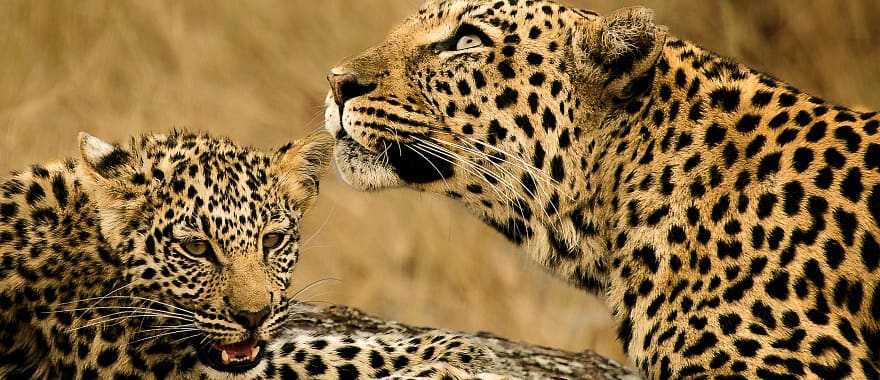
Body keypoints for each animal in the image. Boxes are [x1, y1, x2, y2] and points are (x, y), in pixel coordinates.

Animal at [0, 129, 496, 378]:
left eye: (272, 242)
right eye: (195, 248)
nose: (253, 316)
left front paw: (451, 348)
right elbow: (322, 356)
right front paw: (449, 355)